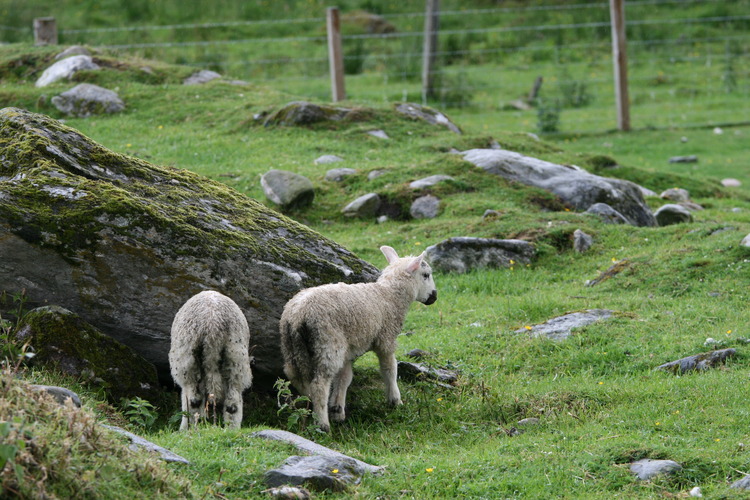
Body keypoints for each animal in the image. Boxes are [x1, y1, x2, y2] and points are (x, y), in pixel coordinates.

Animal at [170, 292, 253, 432]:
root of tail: (213, 323)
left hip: (187, 359)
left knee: (193, 399)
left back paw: (187, 428)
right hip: (236, 354)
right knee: (233, 402)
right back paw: (232, 429)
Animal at [280, 244, 438, 432]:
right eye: (426, 275)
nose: (434, 296)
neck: (390, 296)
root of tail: (297, 315)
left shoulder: (348, 349)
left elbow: (344, 378)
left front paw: (337, 410)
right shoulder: (385, 339)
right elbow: (390, 369)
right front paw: (395, 401)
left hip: (292, 346)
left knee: (295, 377)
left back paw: (306, 412)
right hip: (328, 343)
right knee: (319, 385)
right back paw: (323, 425)